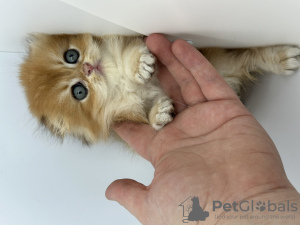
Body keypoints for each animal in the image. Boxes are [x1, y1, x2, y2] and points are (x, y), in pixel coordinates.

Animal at [19, 34, 300, 145]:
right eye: (79, 92)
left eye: (71, 55)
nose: (88, 68)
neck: (113, 79)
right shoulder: (123, 114)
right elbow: (144, 114)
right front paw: (159, 115)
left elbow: (132, 52)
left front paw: (139, 66)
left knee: (252, 56)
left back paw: (283, 57)